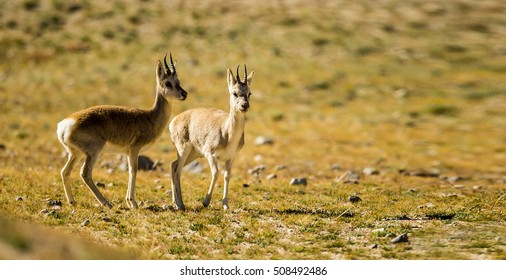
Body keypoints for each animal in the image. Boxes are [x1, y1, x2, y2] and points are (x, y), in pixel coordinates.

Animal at [56, 53, 188, 209]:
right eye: (168, 83)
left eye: (178, 81)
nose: (184, 94)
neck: (150, 117)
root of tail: (67, 123)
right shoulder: (134, 149)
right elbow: (134, 171)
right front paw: (133, 202)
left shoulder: (128, 153)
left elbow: (130, 172)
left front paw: (129, 201)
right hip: (94, 152)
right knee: (85, 173)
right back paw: (106, 203)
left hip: (75, 154)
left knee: (65, 171)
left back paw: (72, 201)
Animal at [168, 65, 253, 210]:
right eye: (234, 93)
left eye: (249, 93)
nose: (245, 105)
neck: (227, 133)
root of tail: (175, 119)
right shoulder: (211, 155)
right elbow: (216, 173)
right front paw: (205, 202)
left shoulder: (231, 158)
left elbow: (227, 176)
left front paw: (225, 205)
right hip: (184, 151)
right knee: (177, 170)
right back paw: (180, 204)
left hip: (194, 154)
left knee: (173, 165)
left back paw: (176, 202)